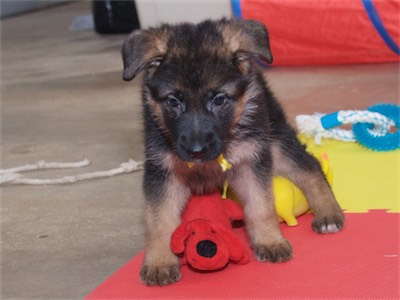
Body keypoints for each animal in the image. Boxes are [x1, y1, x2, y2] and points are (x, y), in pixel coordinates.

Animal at [122, 18, 344, 286]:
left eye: (219, 99)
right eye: (173, 101)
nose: (196, 151)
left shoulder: (252, 160)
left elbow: (261, 207)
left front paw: (270, 240)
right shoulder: (162, 172)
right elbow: (159, 221)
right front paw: (160, 262)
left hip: (275, 141)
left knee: (310, 165)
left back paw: (328, 213)